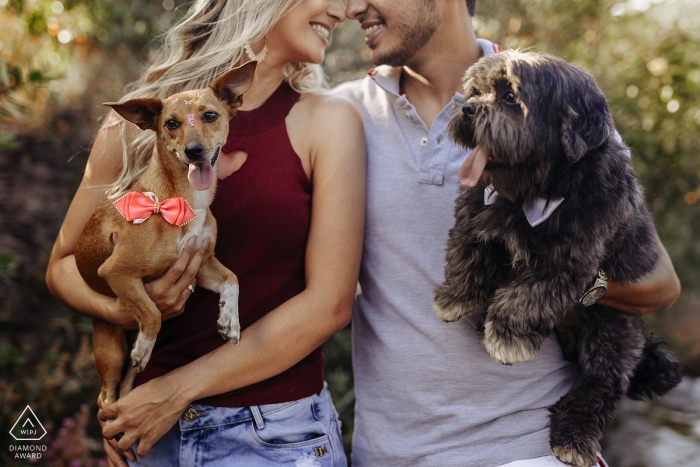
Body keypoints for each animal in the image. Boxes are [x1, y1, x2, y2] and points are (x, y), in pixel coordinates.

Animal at [76, 62, 258, 410]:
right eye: (171, 124)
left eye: (210, 116)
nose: (194, 150)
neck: (185, 200)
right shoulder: (116, 272)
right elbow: (153, 313)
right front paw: (145, 345)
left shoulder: (203, 264)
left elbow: (233, 279)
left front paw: (230, 320)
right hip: (110, 350)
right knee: (107, 397)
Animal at [434, 51, 680, 467]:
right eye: (477, 90)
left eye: (510, 97)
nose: (466, 108)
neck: (539, 189)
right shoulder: (478, 212)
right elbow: (468, 252)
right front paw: (455, 297)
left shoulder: (567, 263)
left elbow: (523, 298)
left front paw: (505, 337)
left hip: (614, 335)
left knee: (601, 387)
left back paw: (575, 437)